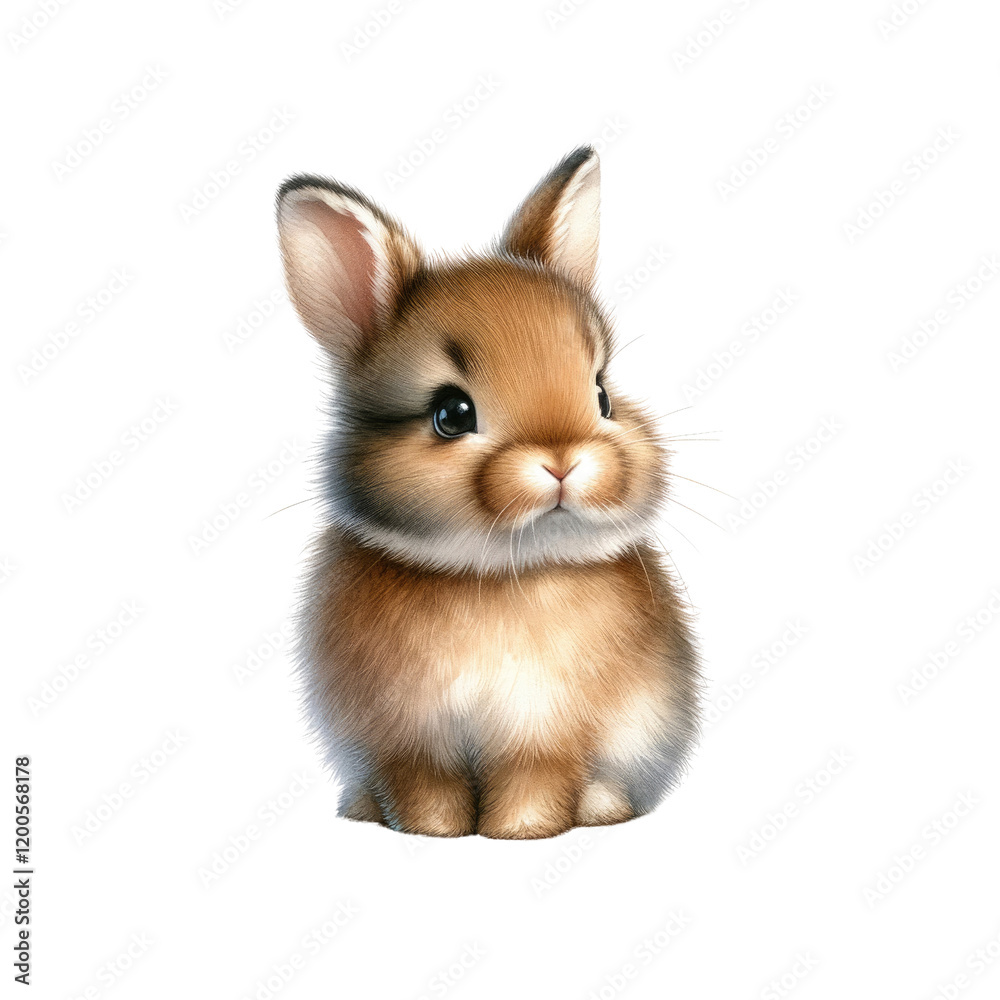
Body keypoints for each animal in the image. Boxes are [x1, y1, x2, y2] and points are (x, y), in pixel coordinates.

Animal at [276, 146, 701, 840]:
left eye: (602, 395)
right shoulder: (409, 742)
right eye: (451, 414)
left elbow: (535, 781)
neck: (499, 574)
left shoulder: (544, 736)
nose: (563, 461)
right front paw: (434, 833)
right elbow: (425, 788)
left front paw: (519, 833)